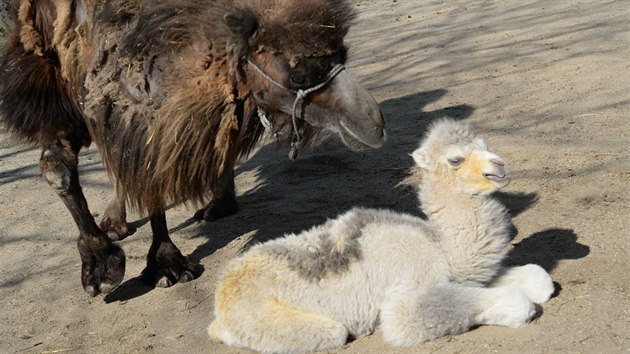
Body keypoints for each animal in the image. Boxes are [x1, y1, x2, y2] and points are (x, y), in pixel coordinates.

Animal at [207, 118, 552, 352]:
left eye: (485, 145)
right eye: (455, 159)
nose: (500, 167)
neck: (439, 246)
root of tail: (224, 285)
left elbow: (538, 279)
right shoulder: (406, 296)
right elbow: (410, 319)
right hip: (278, 321)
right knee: (328, 332)